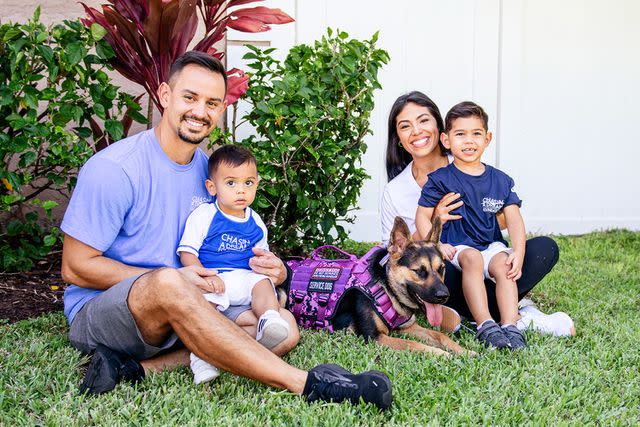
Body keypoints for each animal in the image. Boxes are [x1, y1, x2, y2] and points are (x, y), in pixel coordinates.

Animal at [280, 217, 470, 358]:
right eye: (419, 271)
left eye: (441, 269)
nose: (444, 296)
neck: (386, 288)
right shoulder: (374, 338)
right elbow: (412, 344)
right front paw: (441, 354)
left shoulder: (408, 327)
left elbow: (440, 335)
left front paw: (464, 351)